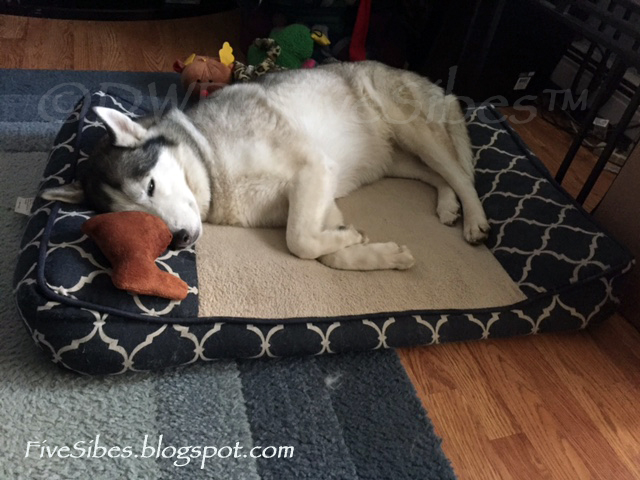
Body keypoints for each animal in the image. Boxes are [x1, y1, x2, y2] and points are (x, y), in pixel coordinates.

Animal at [42, 61, 489, 271]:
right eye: (137, 218)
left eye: (150, 187)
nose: (181, 239)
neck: (211, 162)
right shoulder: (323, 198)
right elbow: (322, 250)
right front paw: (369, 249)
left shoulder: (314, 169)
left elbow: (299, 241)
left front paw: (356, 241)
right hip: (395, 161)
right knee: (439, 176)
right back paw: (448, 205)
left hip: (413, 131)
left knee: (460, 173)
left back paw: (474, 220)